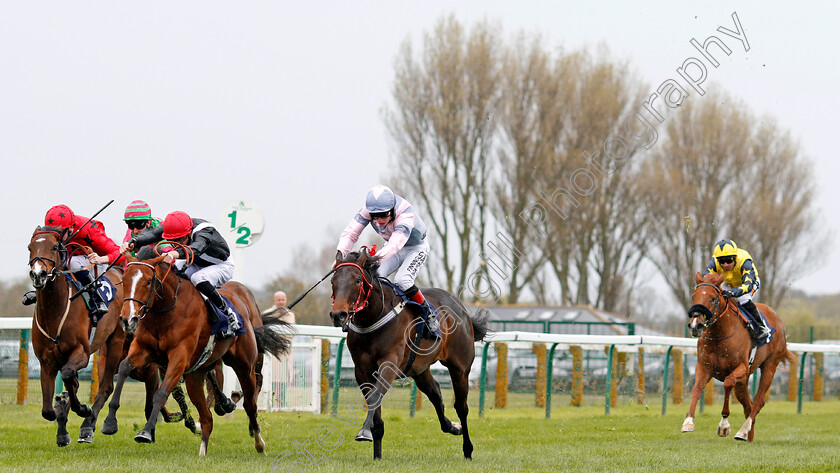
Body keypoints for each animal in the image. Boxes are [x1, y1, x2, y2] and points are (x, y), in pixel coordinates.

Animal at [26, 227, 194, 444]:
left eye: (54, 247)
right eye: (30, 247)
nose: (38, 274)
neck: (55, 313)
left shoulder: (83, 353)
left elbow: (69, 374)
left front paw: (83, 409)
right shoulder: (46, 362)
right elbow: (48, 410)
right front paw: (64, 420)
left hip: (115, 342)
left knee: (107, 386)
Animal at [104, 253, 292, 456]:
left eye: (147, 281)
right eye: (124, 280)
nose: (127, 319)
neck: (166, 312)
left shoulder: (179, 358)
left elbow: (161, 393)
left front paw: (145, 432)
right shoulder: (144, 350)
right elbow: (124, 368)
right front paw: (109, 422)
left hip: (245, 366)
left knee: (250, 404)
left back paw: (258, 441)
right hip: (195, 375)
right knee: (207, 416)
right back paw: (203, 449)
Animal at [324, 247, 488, 458]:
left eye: (357, 280)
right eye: (333, 281)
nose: (338, 315)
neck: (373, 317)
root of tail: (462, 308)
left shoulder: (389, 364)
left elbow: (375, 397)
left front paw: (364, 432)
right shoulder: (361, 370)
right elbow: (374, 404)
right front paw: (377, 455)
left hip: (460, 367)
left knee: (461, 406)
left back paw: (467, 449)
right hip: (420, 368)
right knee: (435, 393)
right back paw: (452, 426)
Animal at [684, 272, 796, 440]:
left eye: (713, 298)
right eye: (693, 296)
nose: (695, 325)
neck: (720, 337)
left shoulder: (741, 368)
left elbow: (728, 383)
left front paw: (724, 425)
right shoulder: (704, 367)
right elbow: (696, 389)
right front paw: (688, 422)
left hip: (769, 365)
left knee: (758, 401)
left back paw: (743, 431)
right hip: (743, 383)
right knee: (748, 405)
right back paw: (748, 436)